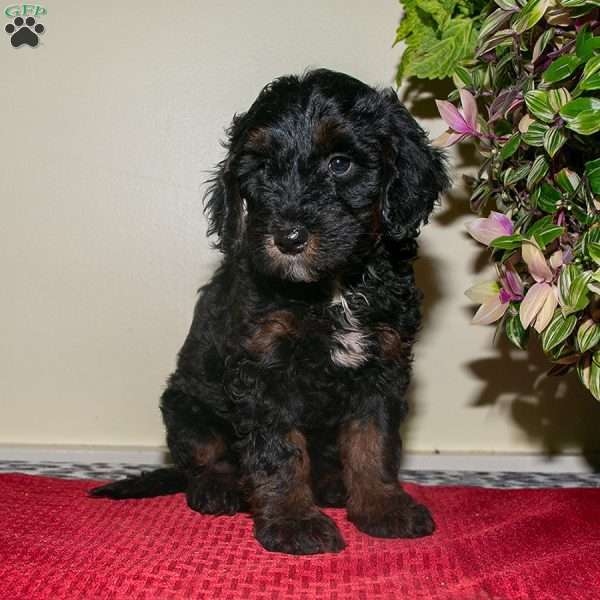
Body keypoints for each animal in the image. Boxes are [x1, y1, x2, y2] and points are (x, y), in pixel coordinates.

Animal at [91, 69, 448, 552]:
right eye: (261, 169)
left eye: (340, 164)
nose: (289, 237)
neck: (331, 287)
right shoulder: (263, 367)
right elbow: (279, 450)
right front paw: (293, 520)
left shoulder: (383, 365)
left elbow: (373, 441)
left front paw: (381, 505)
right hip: (184, 407)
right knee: (204, 458)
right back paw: (219, 488)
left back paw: (333, 485)